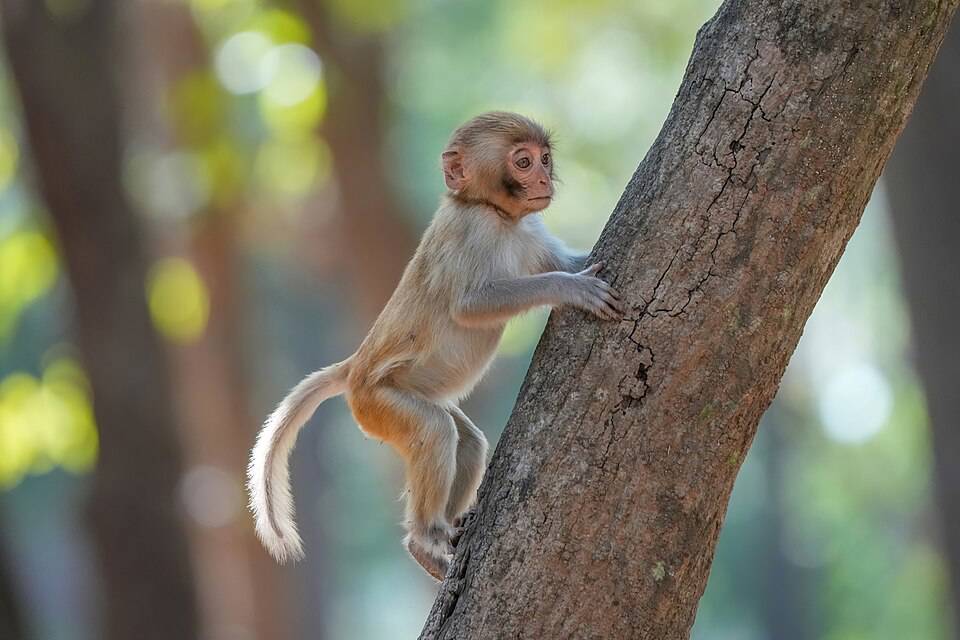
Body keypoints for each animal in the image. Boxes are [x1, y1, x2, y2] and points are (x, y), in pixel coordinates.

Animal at [248, 111, 626, 581]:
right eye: (523, 162)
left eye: (544, 158)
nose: (544, 178)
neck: (493, 213)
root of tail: (354, 367)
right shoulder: (472, 231)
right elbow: (470, 304)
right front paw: (572, 289)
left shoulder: (529, 230)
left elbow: (572, 260)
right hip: (378, 403)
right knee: (434, 430)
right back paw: (425, 536)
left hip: (413, 395)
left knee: (467, 441)